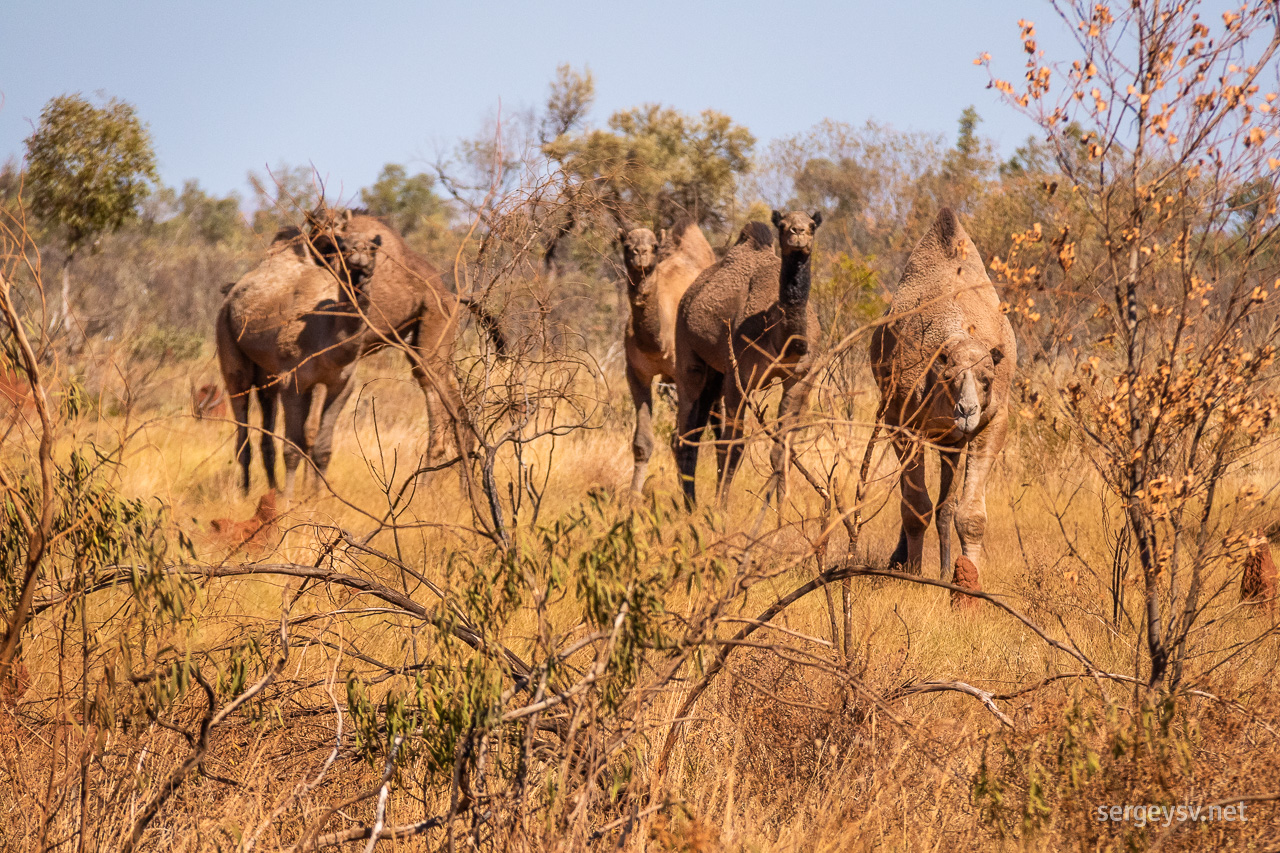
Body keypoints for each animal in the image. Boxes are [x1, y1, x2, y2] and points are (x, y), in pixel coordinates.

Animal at [619, 217, 721, 491]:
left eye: (654, 246)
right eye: (626, 245)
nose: (640, 253)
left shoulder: (686, 376)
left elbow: (682, 440)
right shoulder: (636, 373)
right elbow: (642, 443)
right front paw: (632, 497)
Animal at [670, 211, 819, 504]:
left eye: (812, 226)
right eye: (782, 225)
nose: (797, 233)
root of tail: (689, 294)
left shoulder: (800, 378)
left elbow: (782, 447)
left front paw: (780, 509)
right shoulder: (740, 377)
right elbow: (733, 445)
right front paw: (720, 509)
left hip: (715, 373)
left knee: (695, 431)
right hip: (688, 352)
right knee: (684, 434)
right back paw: (689, 506)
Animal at [870, 207, 1018, 578]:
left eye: (986, 378)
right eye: (948, 376)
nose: (966, 410)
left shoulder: (995, 420)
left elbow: (970, 515)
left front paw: (966, 578)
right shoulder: (901, 421)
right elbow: (916, 506)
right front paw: (912, 574)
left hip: (952, 441)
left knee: (946, 506)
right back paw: (906, 561)